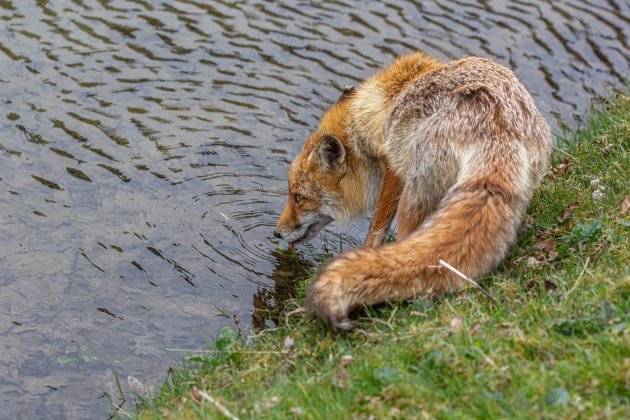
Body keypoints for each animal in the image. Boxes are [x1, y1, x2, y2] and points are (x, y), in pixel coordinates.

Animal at [274, 51, 552, 332]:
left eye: (299, 198)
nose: (276, 233)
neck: (385, 105)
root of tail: (498, 125)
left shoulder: (393, 169)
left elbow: (377, 227)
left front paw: (366, 252)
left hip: (412, 197)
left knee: (408, 244)